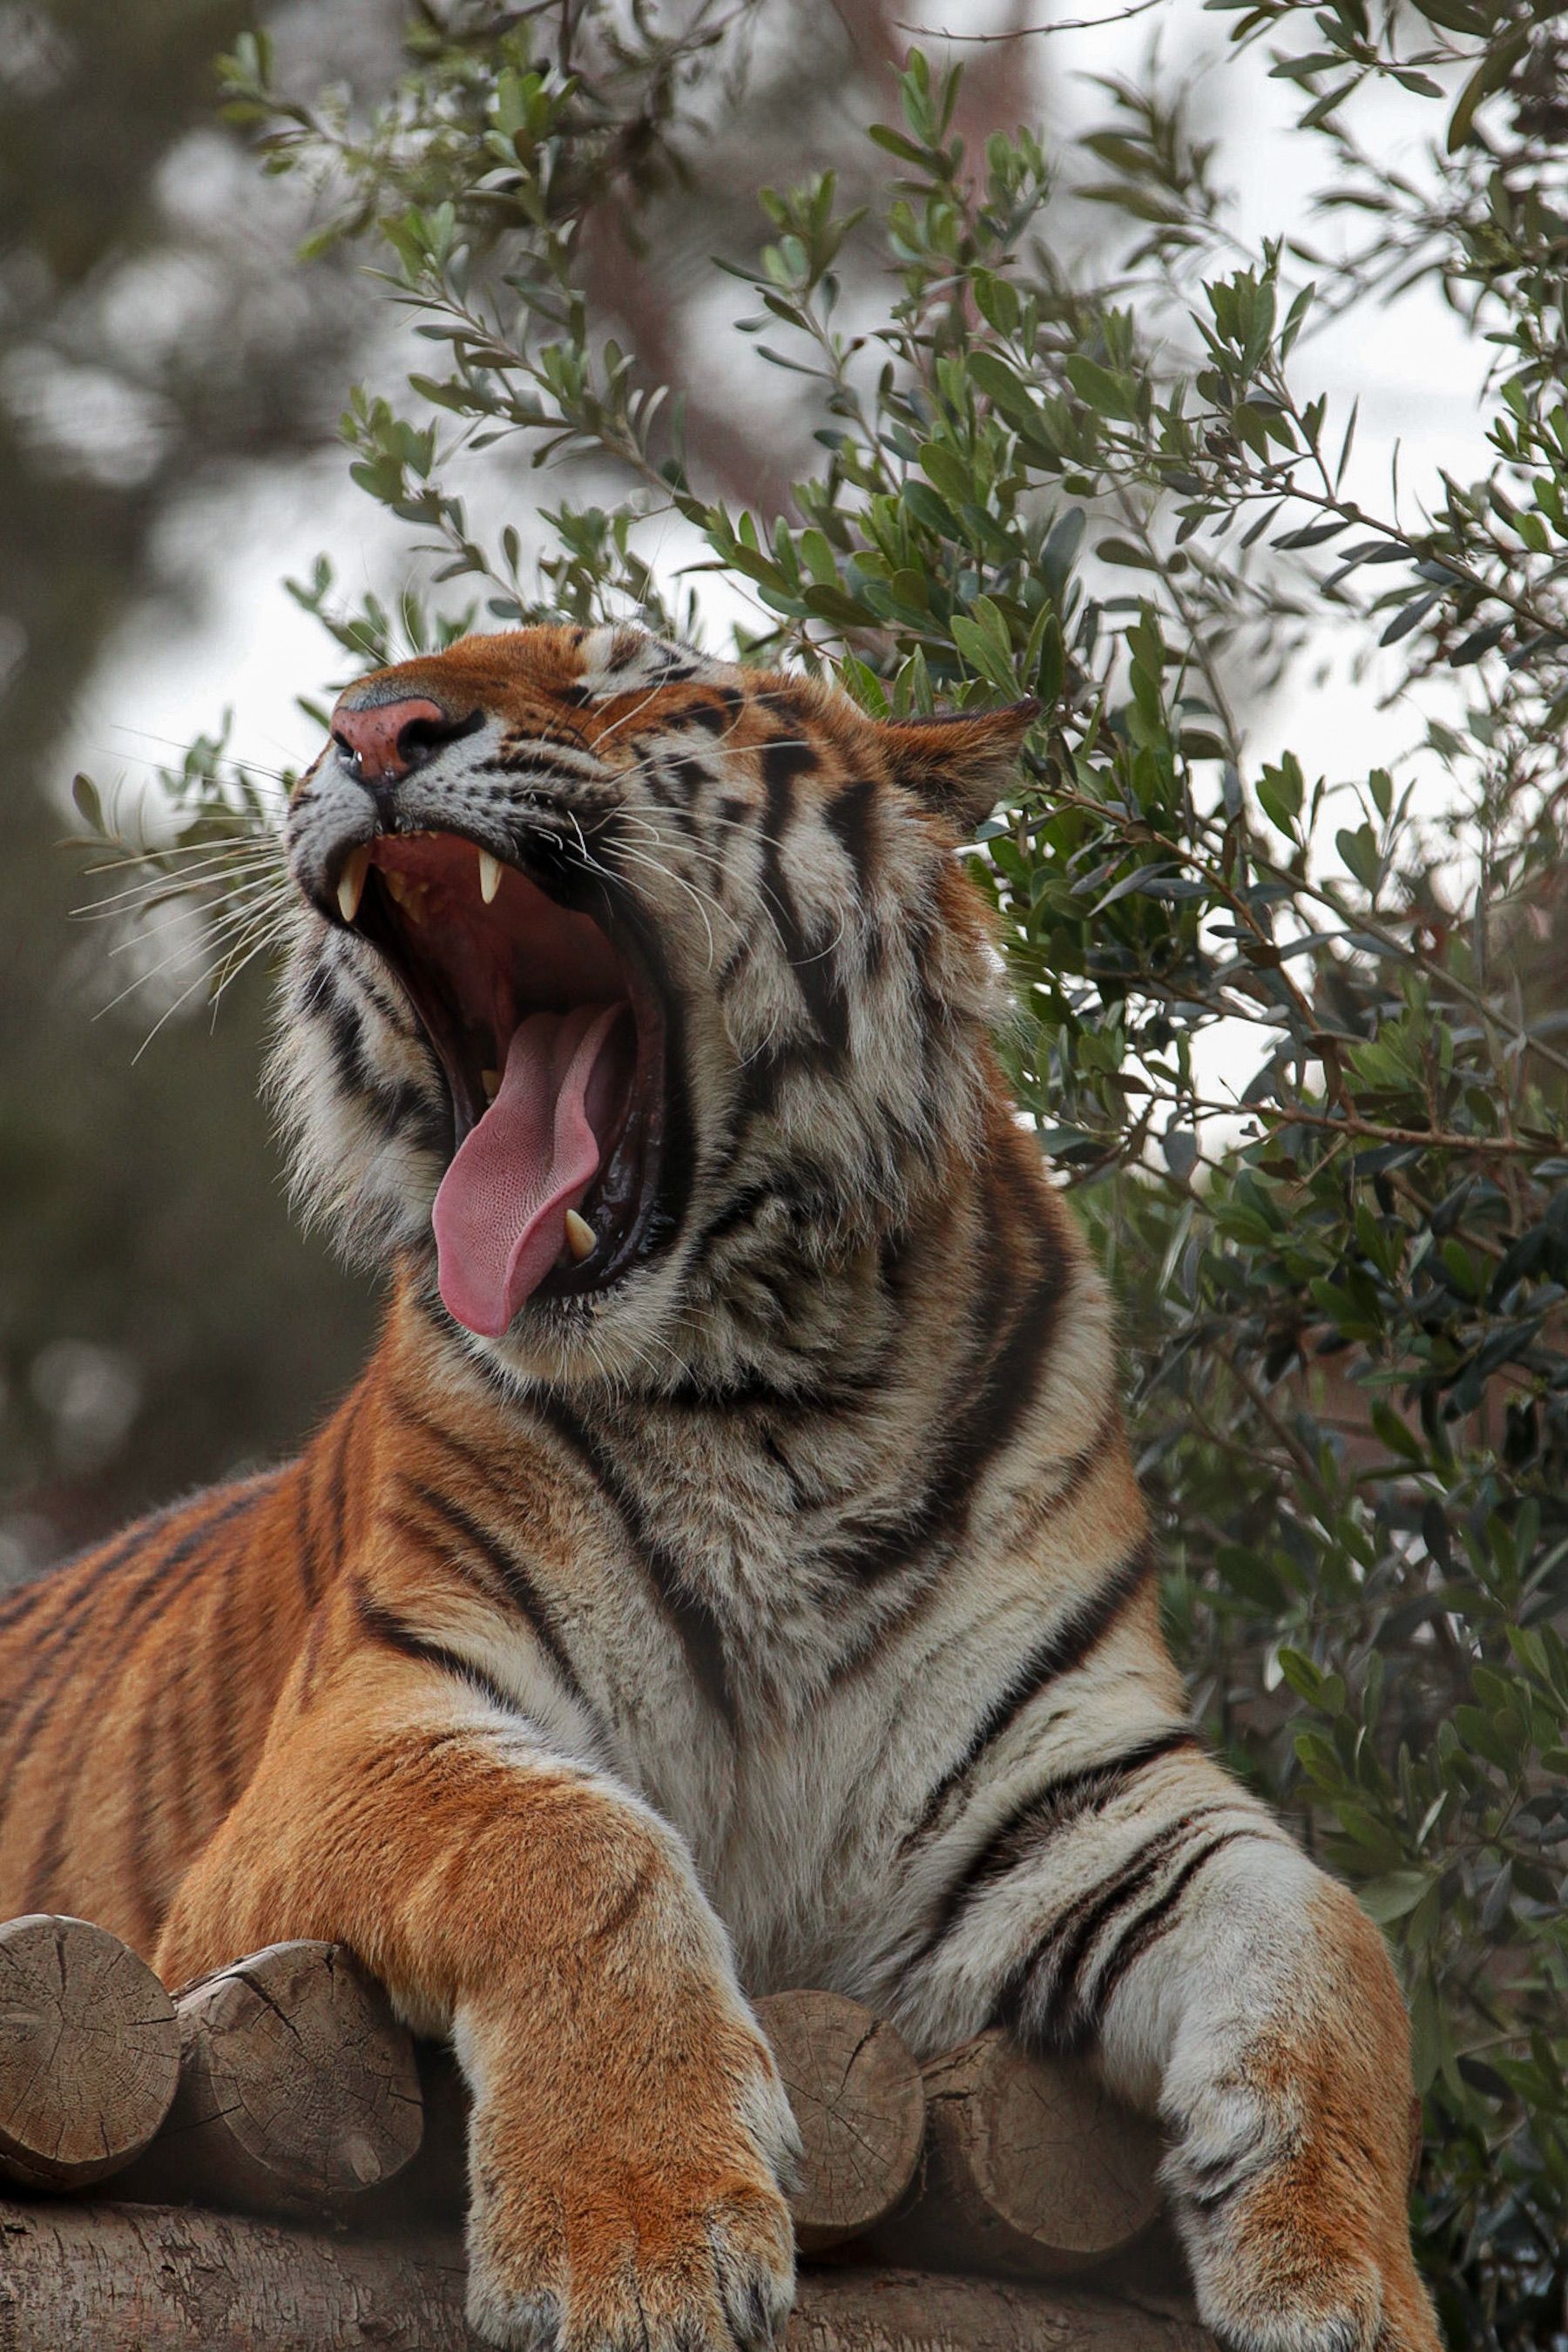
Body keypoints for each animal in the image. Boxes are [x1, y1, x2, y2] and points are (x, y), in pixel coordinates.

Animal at [0, 622, 1439, 2352]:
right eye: (360, 704)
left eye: (625, 679)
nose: (370, 730)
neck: (770, 1395)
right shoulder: (359, 1736)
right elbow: (576, 1843)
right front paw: (640, 2242)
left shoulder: (1080, 1795)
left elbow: (1331, 1941)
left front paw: (1351, 2288)